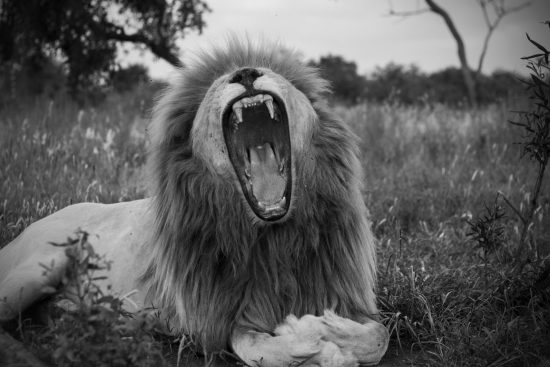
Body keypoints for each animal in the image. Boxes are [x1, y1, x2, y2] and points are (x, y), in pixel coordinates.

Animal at [0, 38, 390, 366]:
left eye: (275, 75)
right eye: (219, 84)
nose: (245, 73)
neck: (274, 236)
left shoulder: (346, 294)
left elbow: (379, 335)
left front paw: (332, 331)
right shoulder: (217, 322)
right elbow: (261, 350)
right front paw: (313, 340)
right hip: (38, 267)